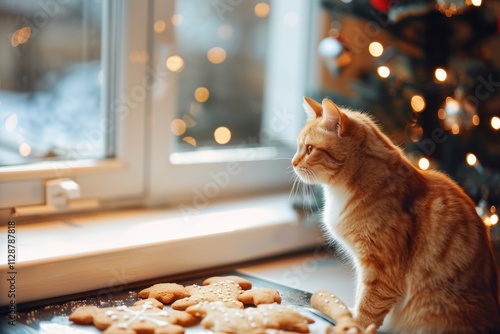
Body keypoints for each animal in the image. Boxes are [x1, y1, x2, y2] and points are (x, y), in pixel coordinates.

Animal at [292, 96, 500, 334]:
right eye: (299, 147)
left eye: (309, 149)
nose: (293, 163)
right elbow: (362, 297)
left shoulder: (381, 268)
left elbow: (368, 308)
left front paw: (355, 325)